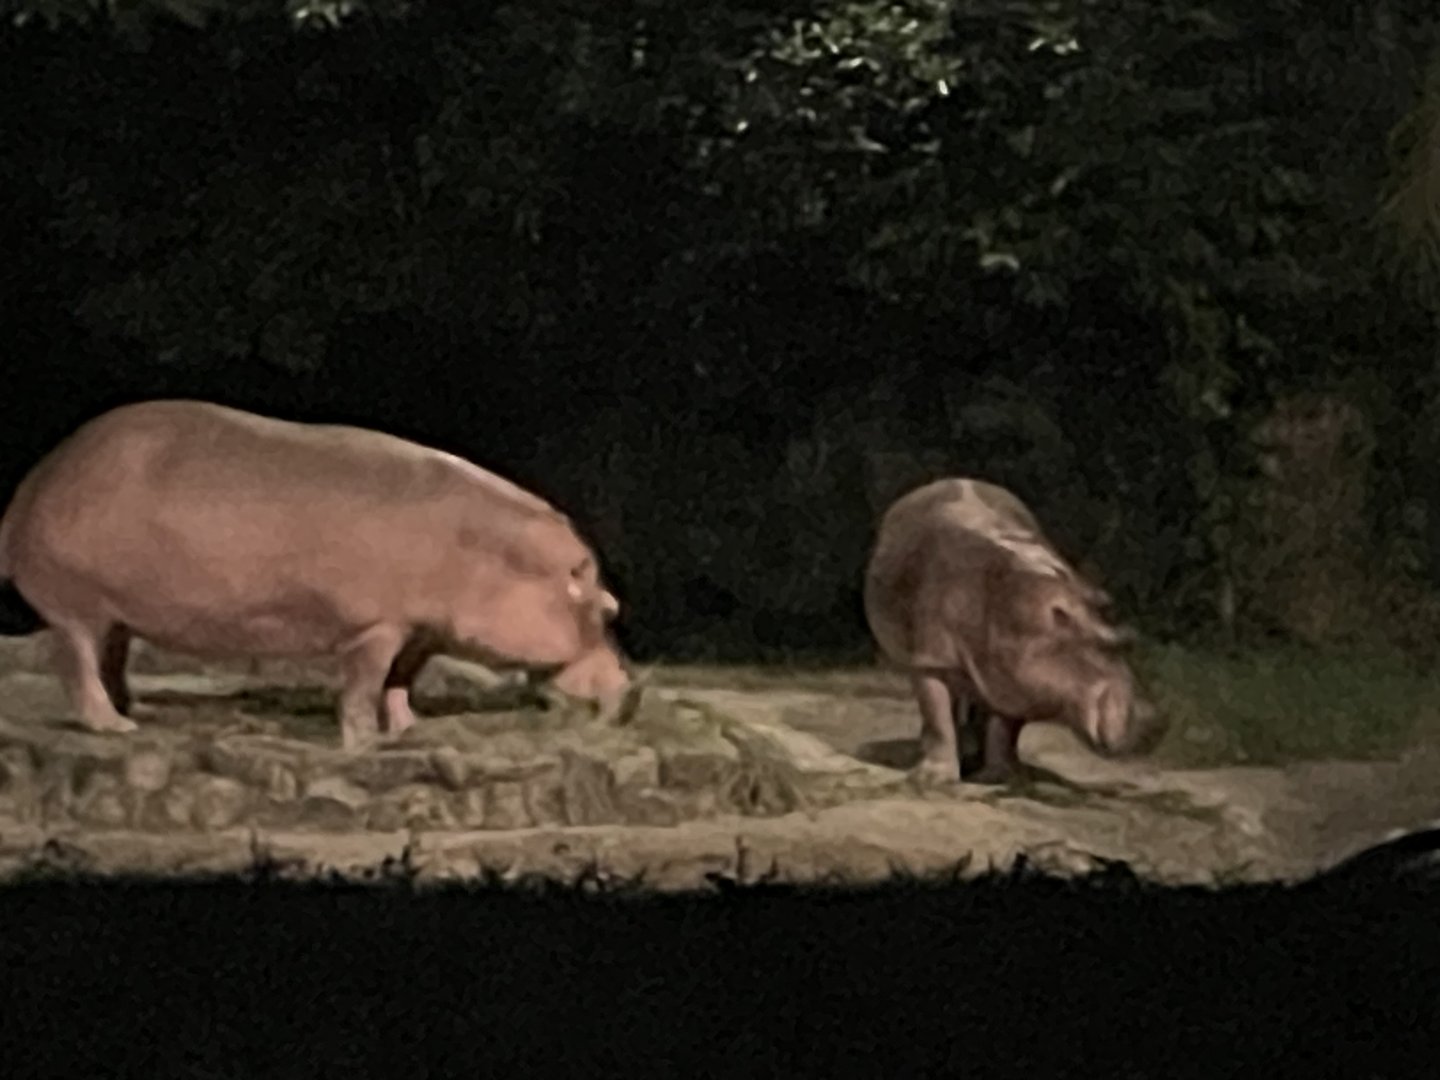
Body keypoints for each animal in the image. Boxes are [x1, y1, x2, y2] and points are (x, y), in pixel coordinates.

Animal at [0, 400, 632, 750]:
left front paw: (408, 730)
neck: (492, 556)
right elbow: (364, 685)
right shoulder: (376, 627)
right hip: (77, 606)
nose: (633, 690)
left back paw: (137, 713)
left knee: (111, 659)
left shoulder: (418, 630)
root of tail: (31, 486)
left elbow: (401, 681)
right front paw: (363, 744)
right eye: (607, 609)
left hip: (118, 614)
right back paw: (116, 729)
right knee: (77, 666)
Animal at [863, 477, 1162, 784]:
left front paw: (1000, 777)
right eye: (1103, 646)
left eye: (1129, 640)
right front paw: (933, 779)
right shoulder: (932, 657)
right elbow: (937, 716)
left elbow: (1004, 728)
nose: (1156, 725)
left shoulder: (1014, 672)